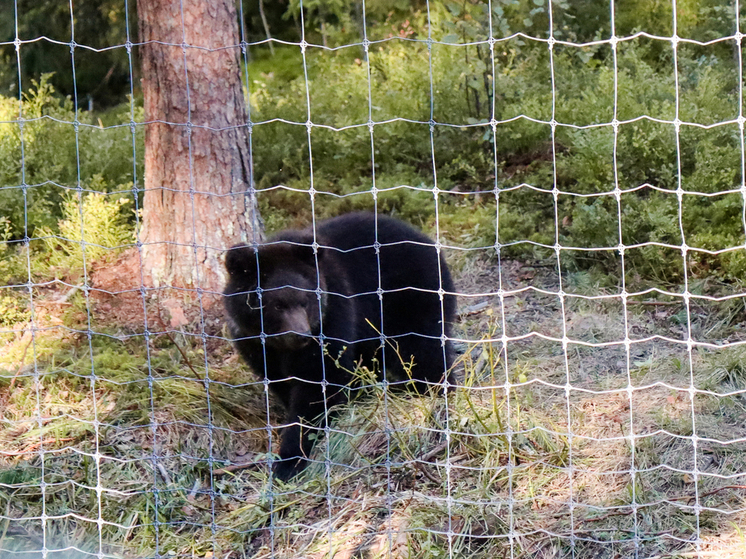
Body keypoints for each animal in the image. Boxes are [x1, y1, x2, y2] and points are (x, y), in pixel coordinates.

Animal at [222, 212, 454, 480]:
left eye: (305, 300)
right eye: (276, 305)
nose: (301, 334)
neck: (282, 346)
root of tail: (428, 243)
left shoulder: (333, 314)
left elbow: (319, 383)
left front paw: (289, 460)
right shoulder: (254, 343)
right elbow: (280, 379)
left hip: (410, 301)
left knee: (423, 351)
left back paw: (435, 392)